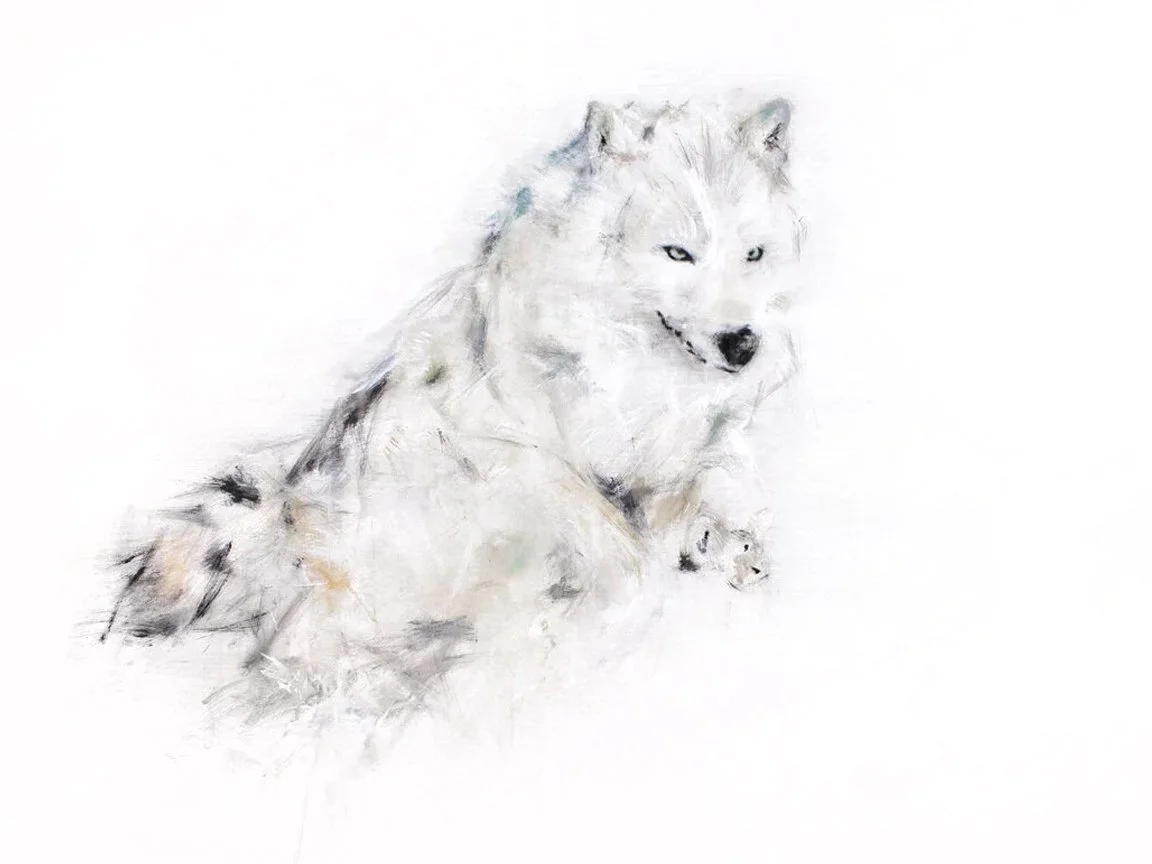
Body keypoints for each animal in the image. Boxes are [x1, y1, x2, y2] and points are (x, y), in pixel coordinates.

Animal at [98, 95, 805, 723]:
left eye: (753, 254)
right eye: (677, 253)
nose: (742, 343)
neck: (629, 370)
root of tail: (287, 510)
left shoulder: (692, 441)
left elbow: (703, 483)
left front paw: (727, 544)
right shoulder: (507, 448)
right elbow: (611, 533)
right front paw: (632, 591)